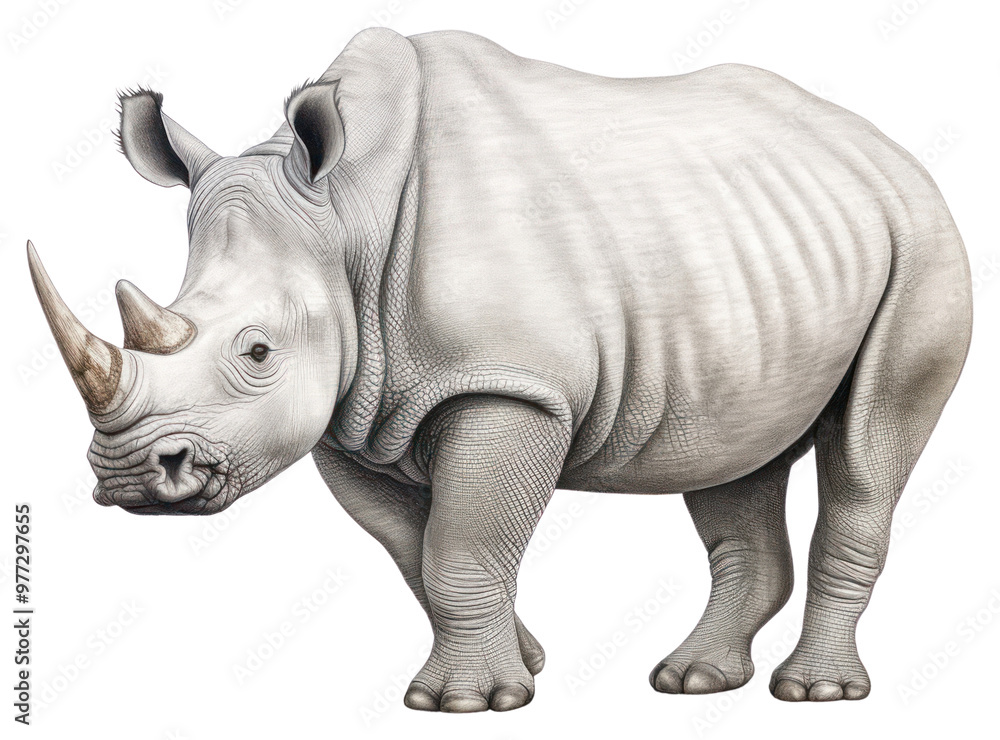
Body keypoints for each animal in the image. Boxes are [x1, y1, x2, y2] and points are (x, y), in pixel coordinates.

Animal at [29, 28, 972, 712]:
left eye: (257, 352)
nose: (129, 475)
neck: (347, 220)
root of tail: (887, 151)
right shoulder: (351, 412)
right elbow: (416, 552)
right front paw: (522, 662)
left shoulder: (509, 386)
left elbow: (462, 542)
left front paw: (466, 704)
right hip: (768, 257)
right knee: (735, 455)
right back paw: (693, 682)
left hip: (922, 241)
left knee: (869, 450)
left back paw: (816, 693)